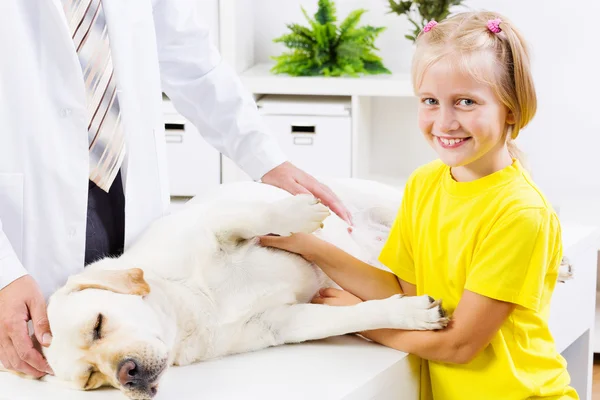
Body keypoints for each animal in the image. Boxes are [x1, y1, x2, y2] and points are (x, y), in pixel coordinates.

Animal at [3, 179, 572, 400]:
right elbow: (355, 315)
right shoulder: (284, 322)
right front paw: (410, 313)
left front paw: (299, 211)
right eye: (91, 380)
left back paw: (561, 261)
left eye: (99, 325)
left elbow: (251, 218)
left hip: (388, 202)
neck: (187, 308)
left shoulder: (217, 226)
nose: (127, 375)